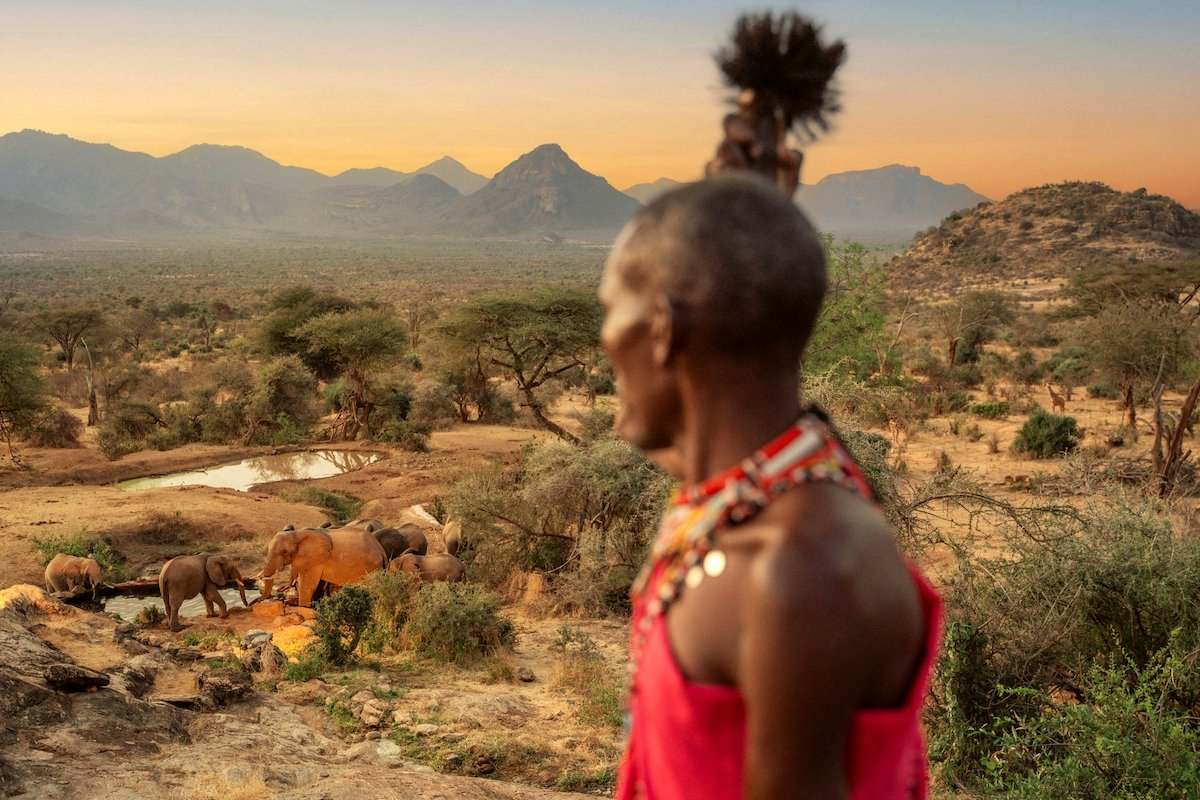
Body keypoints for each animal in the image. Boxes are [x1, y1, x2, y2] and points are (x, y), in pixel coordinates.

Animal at [256, 525, 384, 606]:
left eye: (284, 552)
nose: (255, 601)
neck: (297, 533)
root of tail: (381, 549)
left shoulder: (314, 560)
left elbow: (307, 585)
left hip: (371, 568)